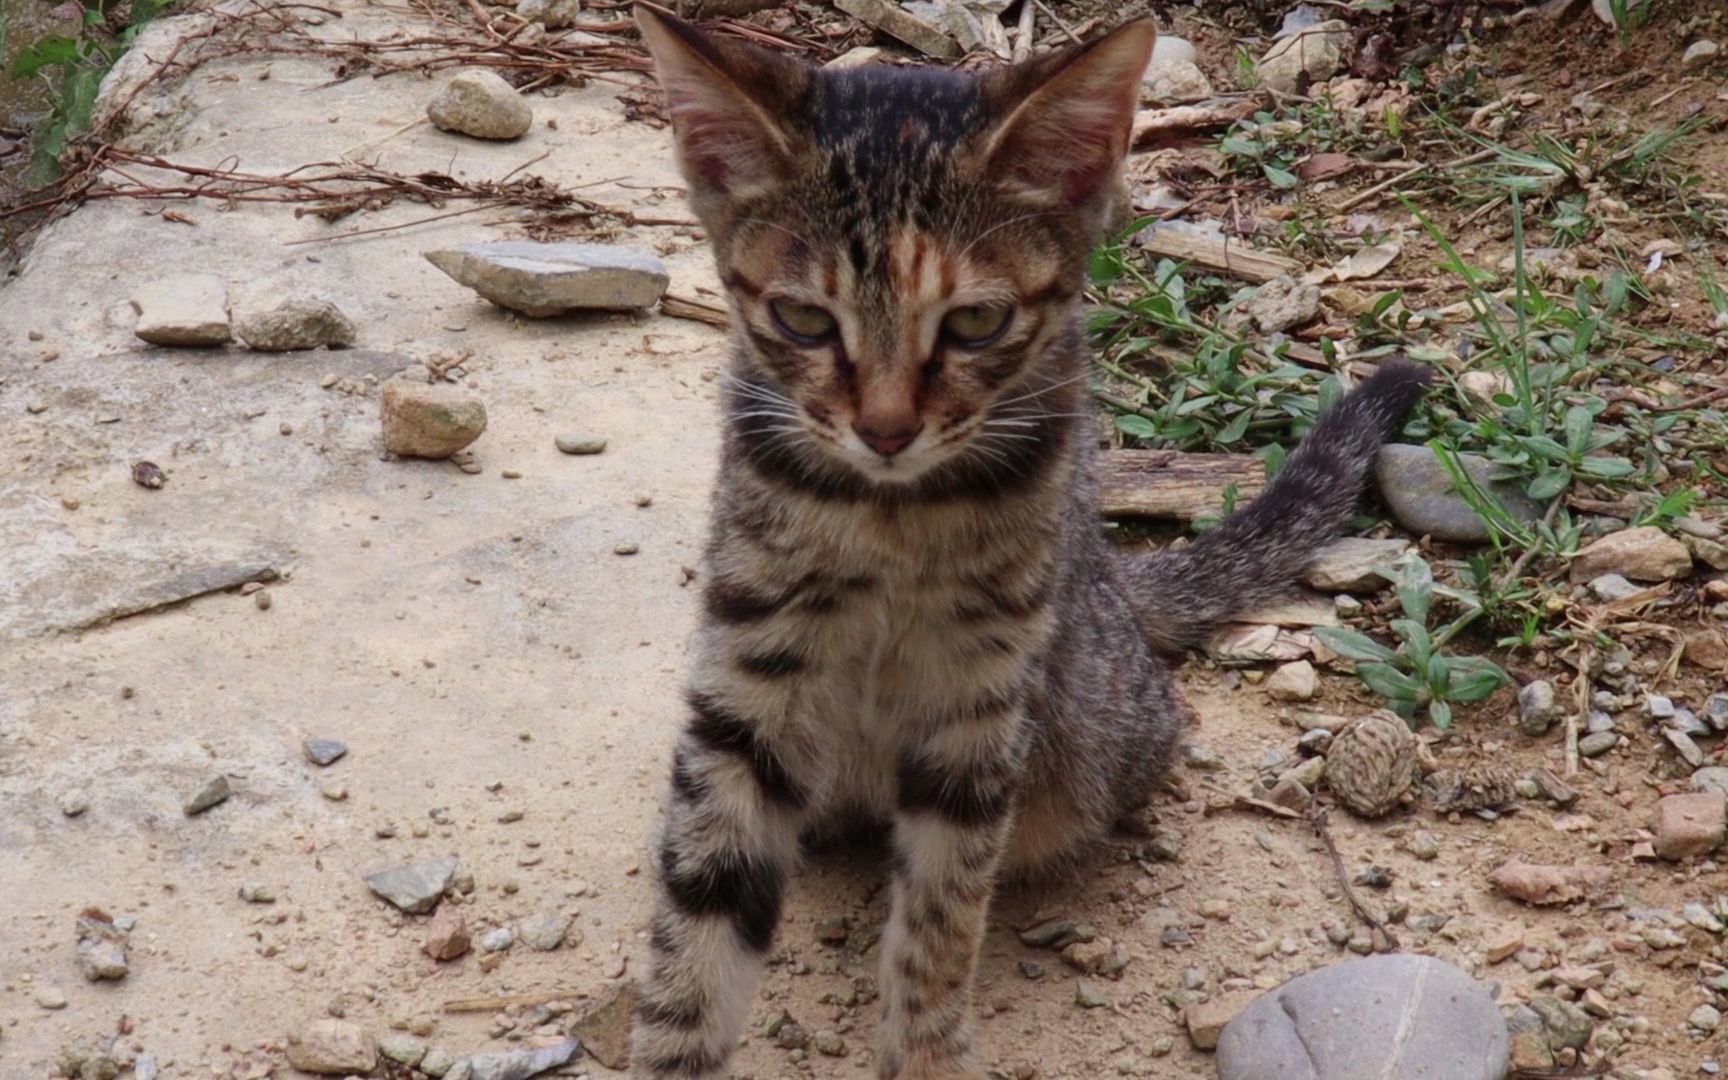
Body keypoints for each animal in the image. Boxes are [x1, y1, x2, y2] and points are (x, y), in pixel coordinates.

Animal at [628, 10, 1423, 1078]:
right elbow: (703, 909)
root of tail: (1114, 587)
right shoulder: (747, 672)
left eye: (974, 321)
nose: (885, 430)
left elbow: (940, 919)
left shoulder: (980, 703)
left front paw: (924, 1050)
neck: (890, 518)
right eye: (801, 317)